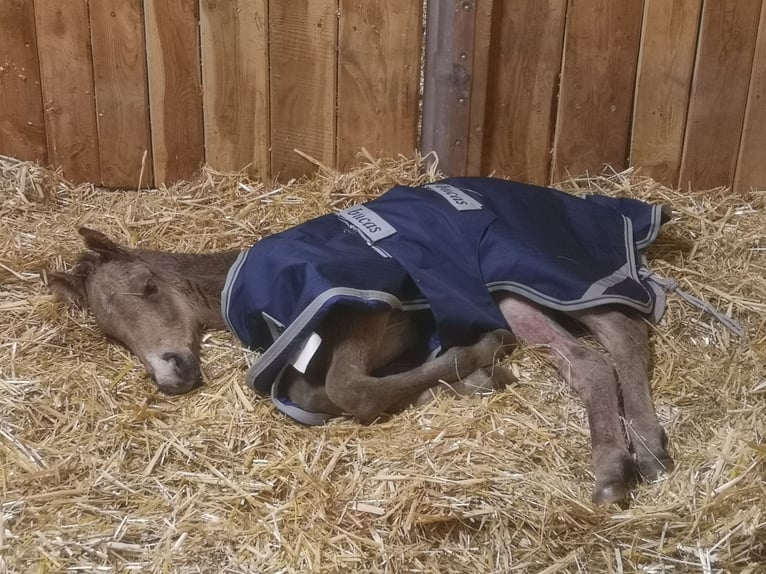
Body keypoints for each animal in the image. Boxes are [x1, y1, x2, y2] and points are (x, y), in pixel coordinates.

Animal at [48, 178, 675, 505]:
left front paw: (474, 360)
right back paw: (634, 456)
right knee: (595, 353)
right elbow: (315, 392)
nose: (172, 373)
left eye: (148, 287)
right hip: (513, 291)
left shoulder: (363, 314)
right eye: (110, 331)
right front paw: (461, 378)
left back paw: (629, 458)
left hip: (526, 276)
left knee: (615, 337)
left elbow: (350, 390)